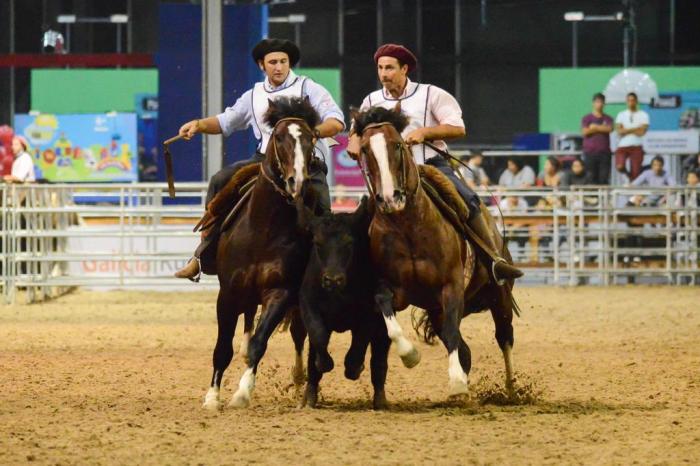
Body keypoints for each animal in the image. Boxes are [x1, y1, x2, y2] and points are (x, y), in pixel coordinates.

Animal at [202, 96, 320, 410]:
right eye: (278, 137)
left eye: (311, 139)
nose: (296, 182)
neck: (262, 230)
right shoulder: (228, 293)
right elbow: (222, 348)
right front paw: (212, 397)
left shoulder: (280, 292)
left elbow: (260, 342)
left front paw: (242, 393)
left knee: (299, 335)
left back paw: (301, 381)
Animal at [352, 106, 516, 396]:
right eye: (364, 150)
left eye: (397, 145)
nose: (391, 198)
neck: (409, 227)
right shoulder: (396, 289)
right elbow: (385, 308)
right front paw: (410, 355)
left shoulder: (451, 286)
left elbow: (452, 332)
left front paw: (457, 382)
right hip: (438, 310)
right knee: (465, 349)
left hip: (500, 294)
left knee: (504, 337)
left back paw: (510, 390)